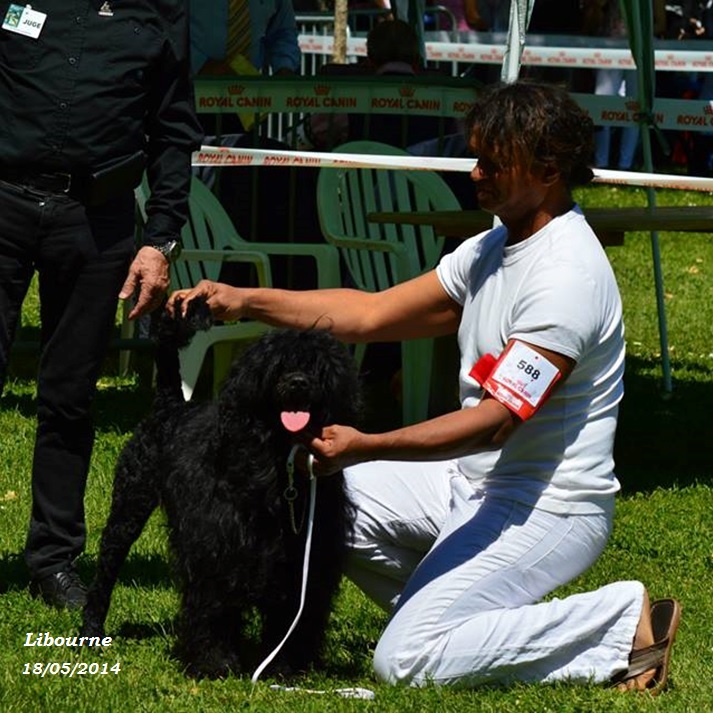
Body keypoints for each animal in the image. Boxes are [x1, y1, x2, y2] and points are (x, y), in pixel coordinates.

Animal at [82, 298, 362, 680]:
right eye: (276, 365)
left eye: (317, 367)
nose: (298, 382)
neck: (278, 467)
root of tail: (171, 403)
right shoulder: (214, 550)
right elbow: (213, 609)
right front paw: (215, 664)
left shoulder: (305, 558)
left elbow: (293, 616)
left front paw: (284, 667)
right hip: (129, 504)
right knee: (106, 568)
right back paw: (90, 631)